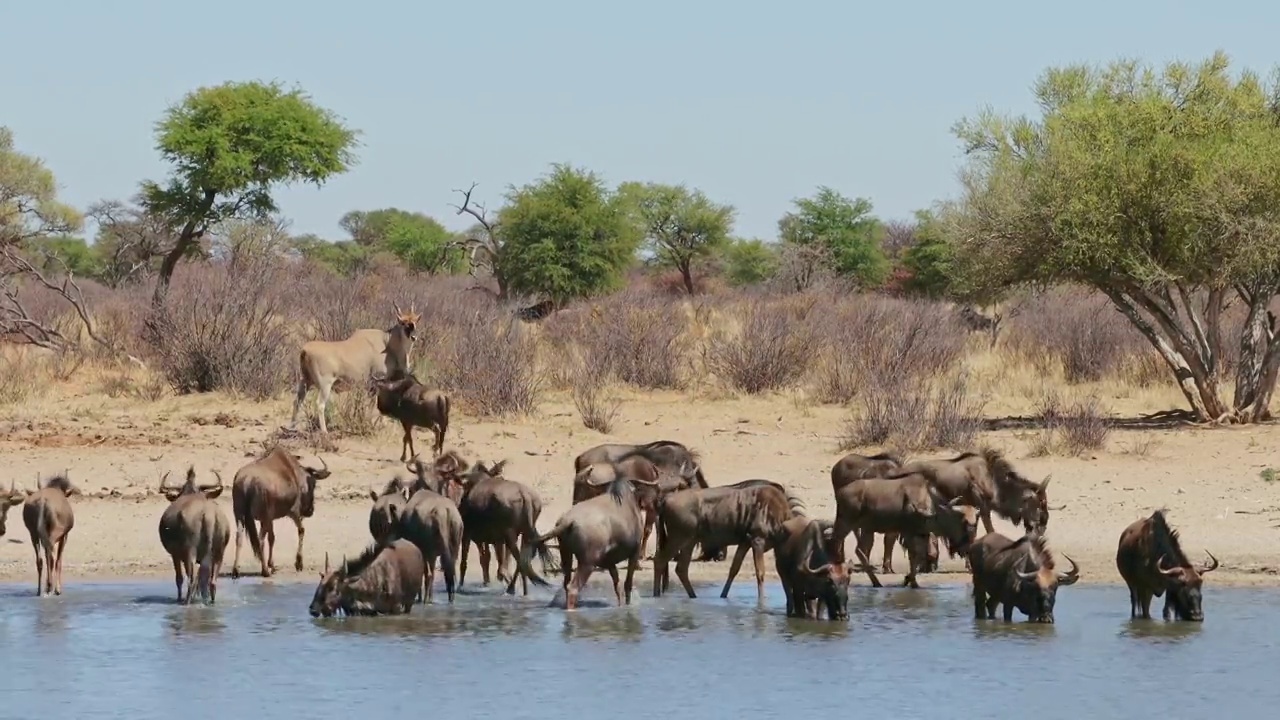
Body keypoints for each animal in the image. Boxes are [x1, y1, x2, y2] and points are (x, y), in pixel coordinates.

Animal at [158, 461, 231, 602]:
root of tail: (208, 514)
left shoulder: (175, 555)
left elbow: (179, 578)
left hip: (189, 553)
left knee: (190, 580)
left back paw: (186, 601)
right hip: (219, 554)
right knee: (211, 582)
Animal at [230, 445, 332, 573]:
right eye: (313, 485)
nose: (310, 511)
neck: (294, 474)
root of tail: (247, 481)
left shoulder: (267, 519)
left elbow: (269, 538)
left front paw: (272, 564)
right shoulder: (293, 512)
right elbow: (301, 530)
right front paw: (298, 563)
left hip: (240, 515)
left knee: (240, 537)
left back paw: (236, 569)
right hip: (264, 517)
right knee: (261, 539)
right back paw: (265, 570)